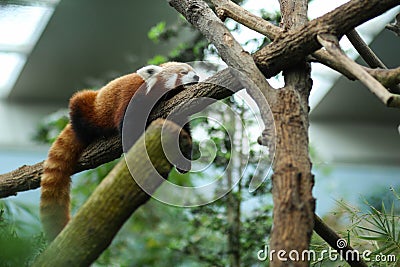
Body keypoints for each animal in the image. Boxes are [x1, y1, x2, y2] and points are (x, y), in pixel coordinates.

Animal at [39, 61, 199, 242]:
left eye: (193, 70)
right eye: (183, 72)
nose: (197, 76)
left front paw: (184, 159)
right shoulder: (132, 100)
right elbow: (128, 128)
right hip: (88, 105)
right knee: (80, 108)